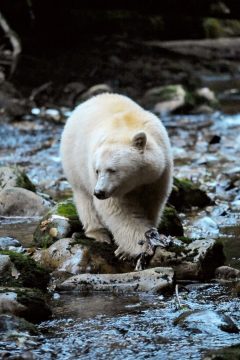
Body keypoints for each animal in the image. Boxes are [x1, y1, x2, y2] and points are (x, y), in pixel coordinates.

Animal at [60, 93, 172, 258]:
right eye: (97, 170)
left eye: (112, 170)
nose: (99, 192)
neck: (125, 129)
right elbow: (119, 211)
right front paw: (137, 247)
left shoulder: (159, 173)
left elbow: (152, 201)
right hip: (73, 160)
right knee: (84, 197)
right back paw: (98, 232)